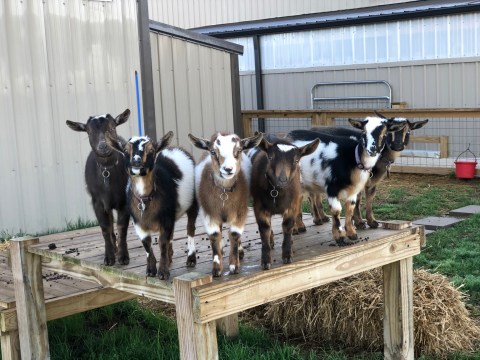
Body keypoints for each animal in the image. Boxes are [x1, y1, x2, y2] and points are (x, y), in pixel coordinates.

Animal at [65, 109, 130, 268]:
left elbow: (122, 227)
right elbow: (105, 227)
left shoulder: (124, 201)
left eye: (112, 127)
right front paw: (109, 257)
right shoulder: (98, 202)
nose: (103, 146)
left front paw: (123, 257)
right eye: (89, 131)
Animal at [109, 131, 198, 280]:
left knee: (190, 228)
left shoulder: (166, 219)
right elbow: (146, 244)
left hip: (192, 203)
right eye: (126, 151)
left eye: (151, 150)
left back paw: (191, 259)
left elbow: (162, 243)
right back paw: (170, 257)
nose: (136, 161)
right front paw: (151, 270)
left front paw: (163, 272)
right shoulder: (139, 223)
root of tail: (176, 148)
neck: (146, 199)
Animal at [188, 131, 262, 276]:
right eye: (212, 151)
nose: (228, 169)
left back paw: (240, 252)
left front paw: (234, 266)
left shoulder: (241, 211)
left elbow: (234, 235)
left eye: (239, 150)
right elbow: (214, 236)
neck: (224, 192)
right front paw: (216, 269)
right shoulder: (208, 213)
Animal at [249, 138, 320, 270]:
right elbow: (264, 228)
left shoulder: (292, 205)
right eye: (270, 157)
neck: (277, 192)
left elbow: (287, 226)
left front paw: (287, 256)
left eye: (296, 160)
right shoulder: (259, 206)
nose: (282, 179)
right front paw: (265, 261)